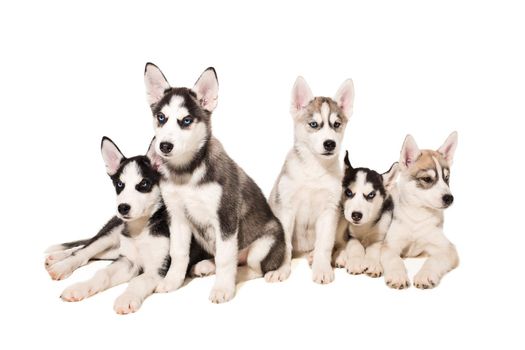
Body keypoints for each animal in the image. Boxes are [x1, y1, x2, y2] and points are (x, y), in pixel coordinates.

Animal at [45, 137, 209, 314]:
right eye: (119, 184)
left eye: (144, 184)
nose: (122, 207)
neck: (141, 228)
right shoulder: (127, 261)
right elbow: (102, 273)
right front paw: (81, 288)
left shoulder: (158, 269)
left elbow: (138, 281)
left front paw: (127, 298)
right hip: (111, 234)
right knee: (83, 251)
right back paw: (60, 264)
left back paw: (203, 266)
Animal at [142, 63, 286, 304]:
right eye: (161, 117)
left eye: (187, 121)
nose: (164, 146)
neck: (186, 173)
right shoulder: (177, 217)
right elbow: (178, 254)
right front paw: (172, 282)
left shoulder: (225, 217)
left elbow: (225, 259)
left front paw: (223, 288)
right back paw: (206, 265)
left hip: (265, 244)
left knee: (253, 267)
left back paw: (240, 274)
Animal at [268, 75, 354, 284]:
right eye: (314, 124)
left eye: (336, 125)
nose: (330, 144)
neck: (314, 169)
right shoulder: (286, 209)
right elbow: (285, 245)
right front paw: (281, 269)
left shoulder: (330, 210)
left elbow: (325, 243)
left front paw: (322, 268)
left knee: (339, 242)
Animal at [380, 132, 458, 290]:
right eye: (427, 179)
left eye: (447, 178)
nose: (449, 198)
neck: (417, 215)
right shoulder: (390, 245)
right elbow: (394, 259)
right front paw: (397, 275)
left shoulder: (446, 248)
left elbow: (433, 261)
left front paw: (425, 275)